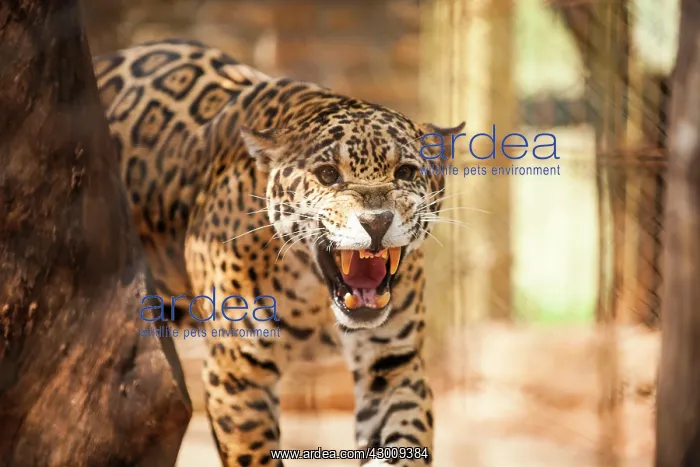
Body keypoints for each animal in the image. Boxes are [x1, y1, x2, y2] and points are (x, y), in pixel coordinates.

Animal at [93, 38, 463, 467]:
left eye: (405, 172)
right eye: (327, 175)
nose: (376, 222)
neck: (316, 299)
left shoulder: (394, 365)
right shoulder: (236, 373)